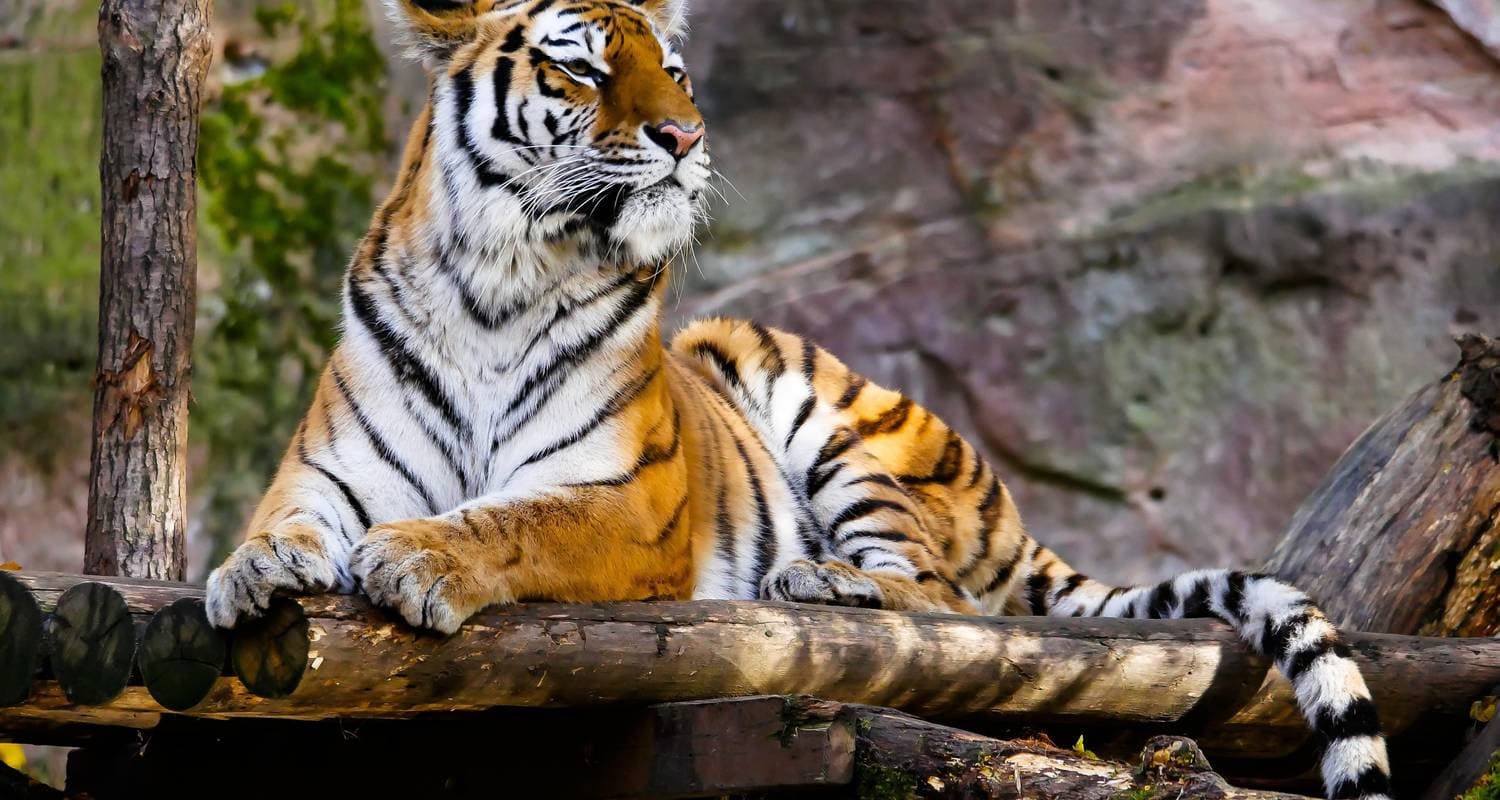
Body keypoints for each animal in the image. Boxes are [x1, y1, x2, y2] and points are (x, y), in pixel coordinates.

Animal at [203, 1, 1393, 797]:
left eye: (675, 72)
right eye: (583, 71)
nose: (685, 138)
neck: (498, 282)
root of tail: (1010, 507)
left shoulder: (626, 501)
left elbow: (512, 520)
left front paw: (418, 557)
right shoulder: (326, 469)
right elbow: (280, 523)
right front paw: (251, 572)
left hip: (822, 409)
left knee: (949, 605)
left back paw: (821, 580)